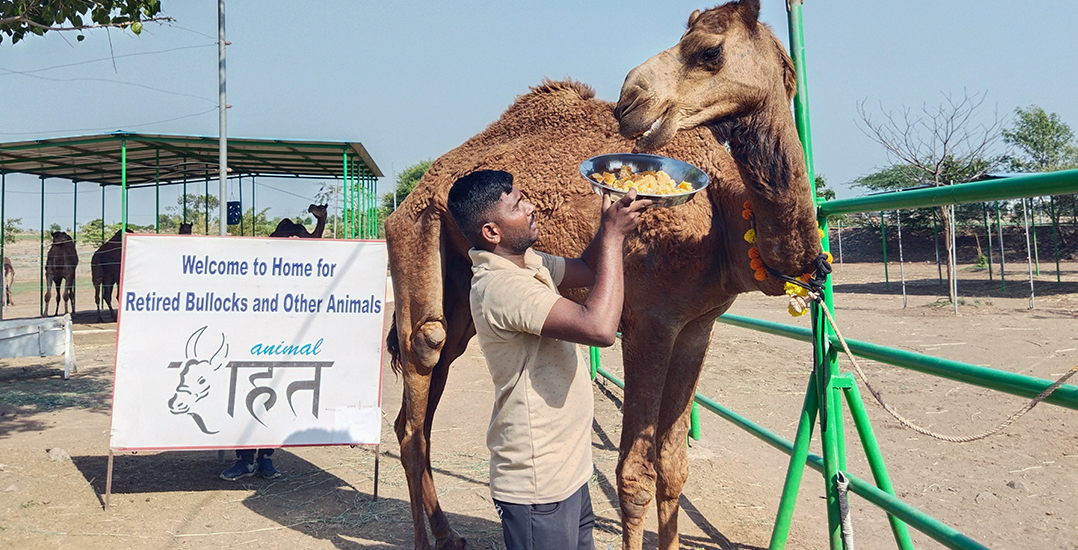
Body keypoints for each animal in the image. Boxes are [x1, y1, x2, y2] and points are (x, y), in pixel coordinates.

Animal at [383, 2, 819, 547]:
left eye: (709, 51)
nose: (631, 99)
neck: (720, 216)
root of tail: (419, 190)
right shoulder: (650, 323)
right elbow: (634, 475)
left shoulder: (697, 326)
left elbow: (674, 467)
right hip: (413, 232)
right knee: (422, 367)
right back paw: (429, 537)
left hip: (459, 279)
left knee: (423, 396)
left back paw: (449, 534)